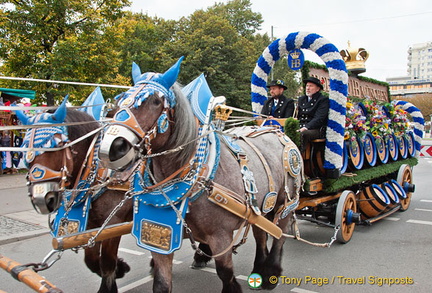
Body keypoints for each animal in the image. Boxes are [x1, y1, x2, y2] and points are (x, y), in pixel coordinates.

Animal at [16, 98, 132, 292]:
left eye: (58, 145)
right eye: (25, 149)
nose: (41, 199)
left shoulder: (114, 223)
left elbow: (107, 263)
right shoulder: (92, 224)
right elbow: (91, 260)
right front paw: (121, 268)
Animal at [100, 56, 304, 290]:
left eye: (155, 102)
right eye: (121, 99)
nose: (111, 148)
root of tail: (278, 131)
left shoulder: (220, 236)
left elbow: (225, 272)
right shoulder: (158, 234)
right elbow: (161, 283)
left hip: (285, 203)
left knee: (279, 234)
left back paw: (271, 273)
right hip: (260, 207)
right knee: (261, 233)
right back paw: (259, 270)